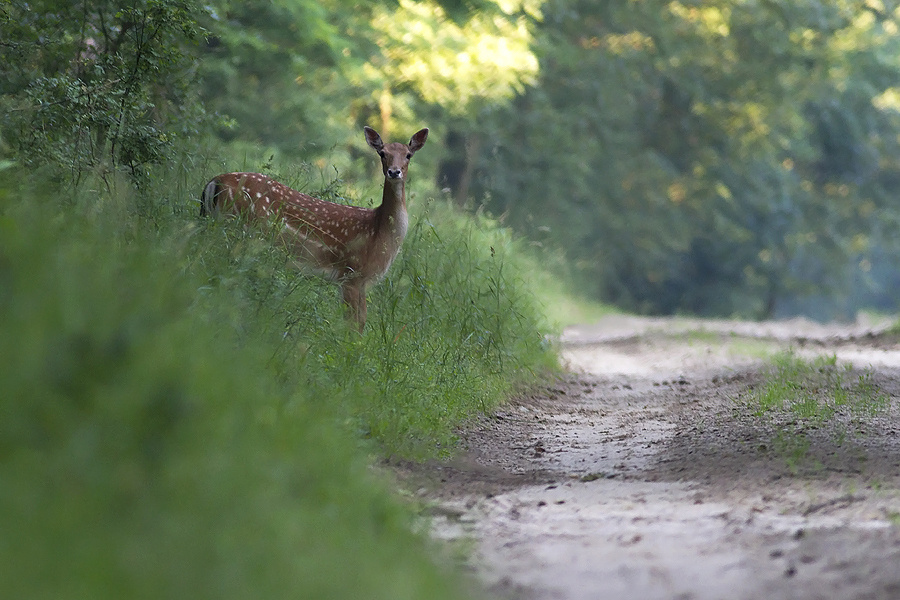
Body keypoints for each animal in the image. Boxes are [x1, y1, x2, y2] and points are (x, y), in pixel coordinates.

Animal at [203, 127, 428, 332]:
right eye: (382, 153)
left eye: (408, 155)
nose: (394, 171)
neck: (379, 232)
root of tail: (215, 182)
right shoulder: (351, 272)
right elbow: (354, 323)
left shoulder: (358, 280)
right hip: (241, 230)